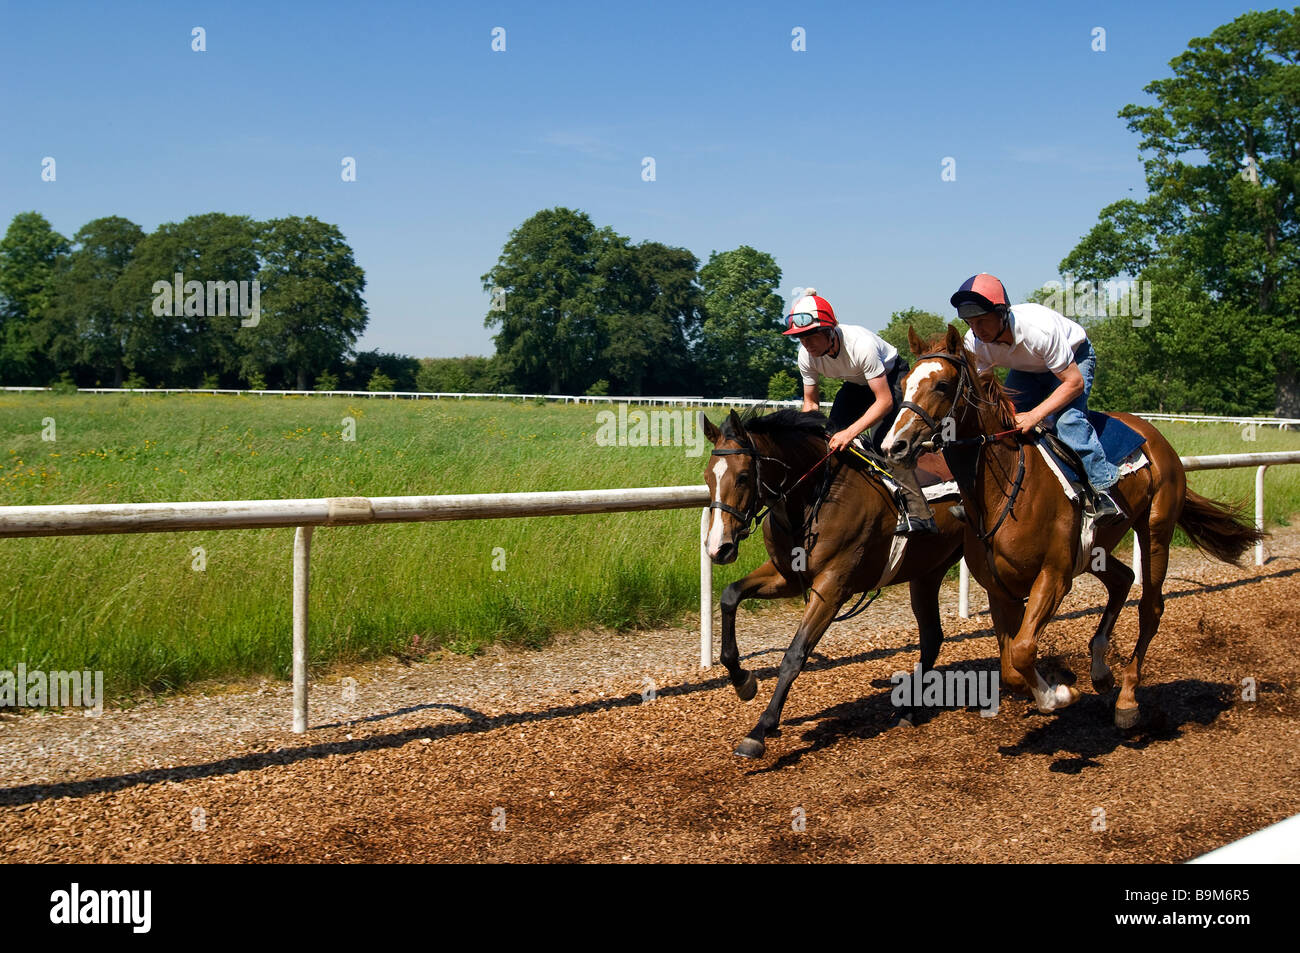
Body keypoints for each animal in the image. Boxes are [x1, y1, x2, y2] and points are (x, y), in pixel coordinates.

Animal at [702, 407, 966, 759]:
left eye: (743, 476)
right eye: (708, 477)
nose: (718, 548)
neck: (815, 498)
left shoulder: (832, 587)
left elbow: (795, 654)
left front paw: (760, 730)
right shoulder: (787, 575)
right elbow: (730, 595)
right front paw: (743, 681)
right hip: (928, 572)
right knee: (933, 637)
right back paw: (908, 711)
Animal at [881, 325, 1265, 728]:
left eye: (941, 384)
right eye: (904, 382)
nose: (894, 445)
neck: (1001, 490)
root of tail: (1154, 435)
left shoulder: (1054, 575)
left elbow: (1022, 650)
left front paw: (1061, 693)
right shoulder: (1000, 587)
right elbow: (1011, 665)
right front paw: (1049, 691)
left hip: (1156, 528)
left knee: (1151, 606)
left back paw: (1127, 699)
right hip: (1095, 549)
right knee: (1123, 579)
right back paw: (1101, 671)